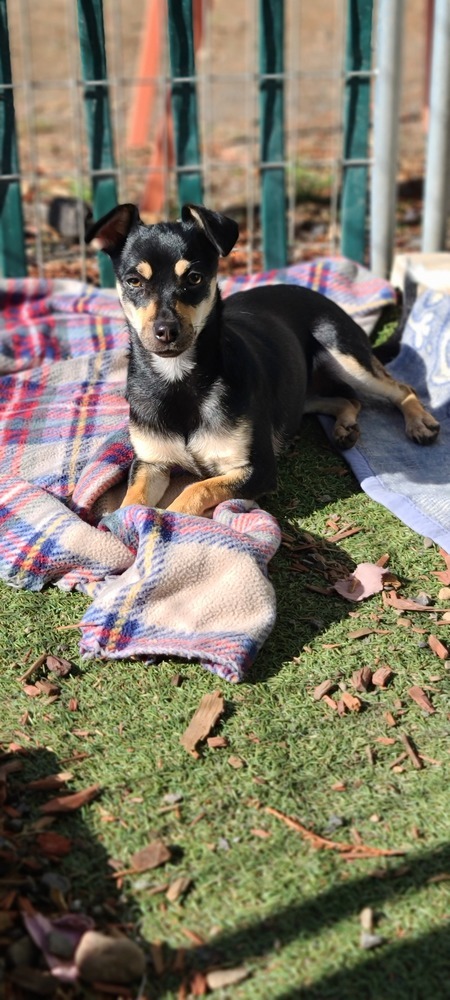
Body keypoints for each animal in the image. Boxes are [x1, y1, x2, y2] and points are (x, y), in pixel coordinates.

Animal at [86, 202, 442, 516]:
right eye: (133, 281)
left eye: (194, 278)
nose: (166, 331)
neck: (178, 378)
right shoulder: (151, 463)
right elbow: (131, 502)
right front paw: (125, 524)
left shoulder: (257, 469)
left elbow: (196, 489)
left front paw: (168, 521)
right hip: (298, 394)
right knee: (347, 399)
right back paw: (345, 427)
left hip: (346, 357)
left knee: (401, 388)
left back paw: (420, 423)